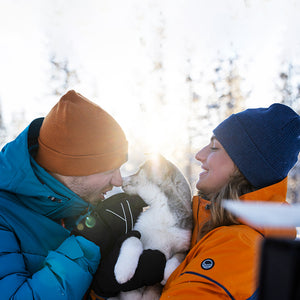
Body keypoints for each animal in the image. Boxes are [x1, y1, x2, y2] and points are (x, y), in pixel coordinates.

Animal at [110, 155, 192, 300]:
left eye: (139, 170)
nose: (121, 179)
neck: (161, 208)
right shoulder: (137, 232)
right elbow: (133, 241)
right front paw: (123, 270)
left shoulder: (184, 247)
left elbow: (178, 258)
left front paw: (166, 275)